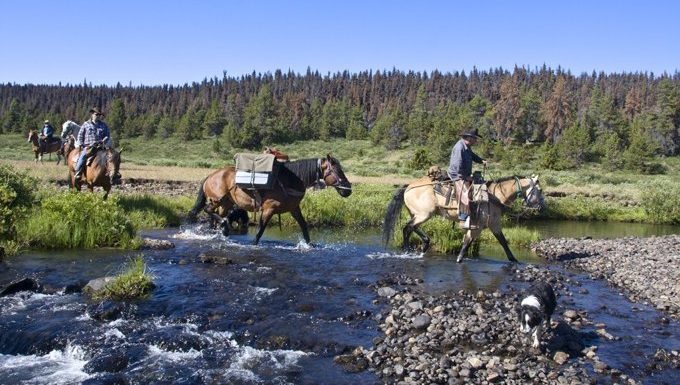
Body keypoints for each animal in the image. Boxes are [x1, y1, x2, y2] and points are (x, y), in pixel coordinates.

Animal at [189, 153, 354, 243]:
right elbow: (259, 232)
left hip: (226, 204)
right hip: (219, 200)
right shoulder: (269, 209)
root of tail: (210, 176)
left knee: (213, 217)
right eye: (337, 170)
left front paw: (309, 245)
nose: (348, 190)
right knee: (208, 210)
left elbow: (304, 227)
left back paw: (222, 230)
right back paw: (224, 225)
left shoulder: (294, 208)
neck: (290, 180)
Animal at [382, 174, 548, 260]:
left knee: (412, 228)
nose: (541, 208)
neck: (494, 196)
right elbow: (466, 244)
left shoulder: (494, 225)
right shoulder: (477, 227)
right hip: (424, 214)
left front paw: (514, 260)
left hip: (419, 214)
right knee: (407, 228)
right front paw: (459, 260)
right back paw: (407, 250)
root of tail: (408, 187)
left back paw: (424, 244)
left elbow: (503, 242)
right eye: (539, 190)